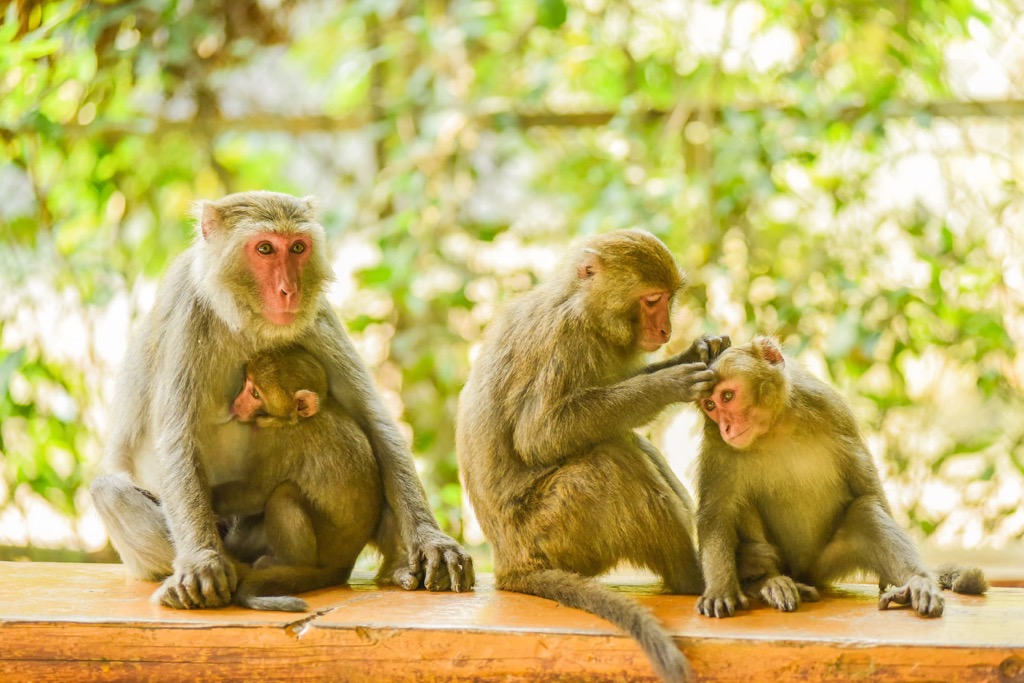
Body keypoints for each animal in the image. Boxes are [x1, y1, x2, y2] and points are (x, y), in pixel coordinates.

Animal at [90, 191, 473, 610]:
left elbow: (375, 422)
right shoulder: (189, 313)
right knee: (109, 491)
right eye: (265, 249)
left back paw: (397, 566)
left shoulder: (317, 314)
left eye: (298, 248)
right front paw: (202, 561)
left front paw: (432, 541)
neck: (245, 320)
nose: (290, 290)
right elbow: (177, 440)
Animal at [457, 229, 729, 683]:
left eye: (667, 299)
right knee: (611, 461)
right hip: (552, 531)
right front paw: (667, 384)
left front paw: (698, 350)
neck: (582, 306)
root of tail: (510, 563)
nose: (665, 327)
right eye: (652, 300)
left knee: (628, 444)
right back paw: (692, 578)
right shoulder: (566, 339)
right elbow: (539, 435)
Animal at [694, 336, 988, 620]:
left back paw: (915, 584)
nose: (726, 427)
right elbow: (717, 512)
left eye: (727, 396)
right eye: (710, 405)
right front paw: (720, 589)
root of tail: (802, 573)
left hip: (826, 563)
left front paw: (912, 580)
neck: (772, 428)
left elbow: (866, 484)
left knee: (866, 511)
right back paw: (770, 581)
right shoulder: (716, 443)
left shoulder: (828, 407)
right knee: (743, 506)